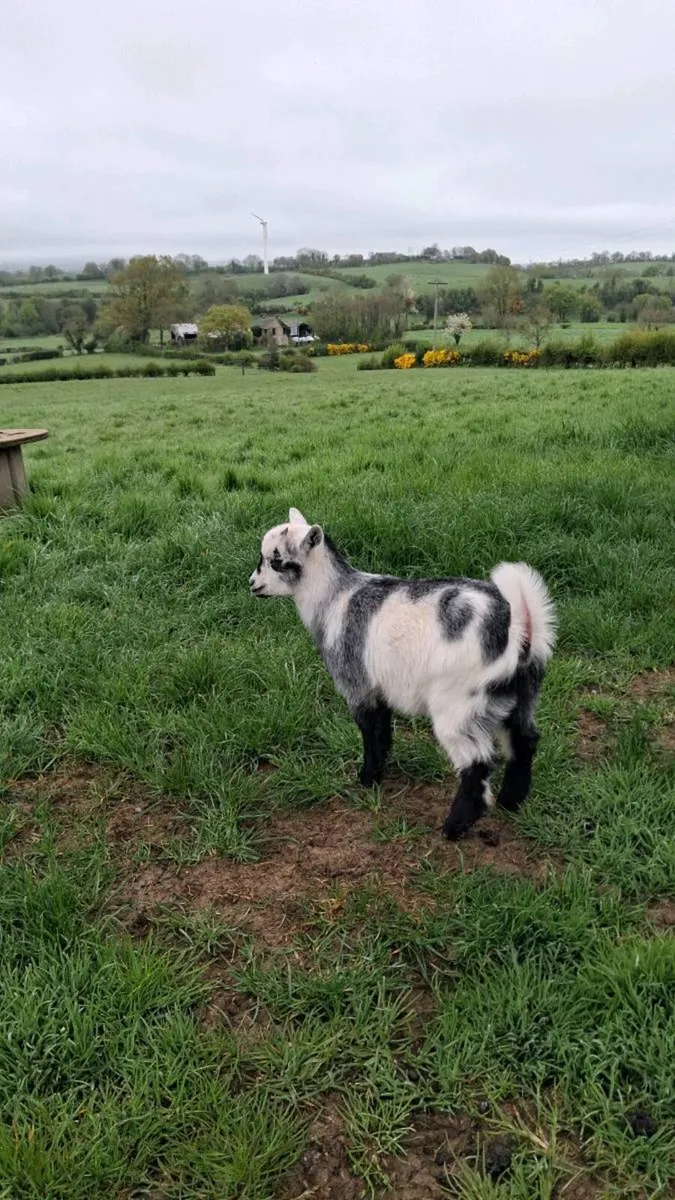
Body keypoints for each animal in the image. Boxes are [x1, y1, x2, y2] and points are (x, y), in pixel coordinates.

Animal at [249, 509, 556, 839]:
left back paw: (455, 826)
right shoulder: (379, 687)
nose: (252, 584)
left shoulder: (357, 685)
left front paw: (367, 777)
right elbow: (383, 729)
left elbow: (369, 730)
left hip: (459, 704)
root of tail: (516, 627)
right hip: (520, 695)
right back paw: (511, 801)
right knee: (525, 740)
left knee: (478, 764)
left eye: (277, 560)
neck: (334, 598)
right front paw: (380, 771)